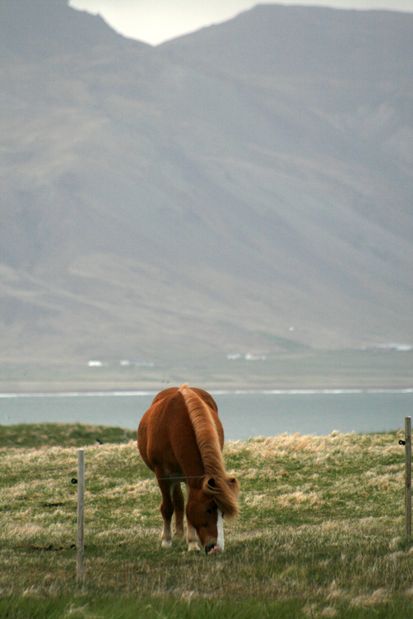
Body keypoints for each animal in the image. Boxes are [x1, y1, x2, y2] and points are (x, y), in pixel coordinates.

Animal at [137, 386, 238, 556]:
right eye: (208, 510)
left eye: (223, 513)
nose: (216, 548)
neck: (173, 426)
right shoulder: (162, 475)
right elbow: (167, 507)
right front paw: (166, 541)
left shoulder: (192, 479)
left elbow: (187, 509)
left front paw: (192, 543)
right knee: (175, 501)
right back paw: (174, 534)